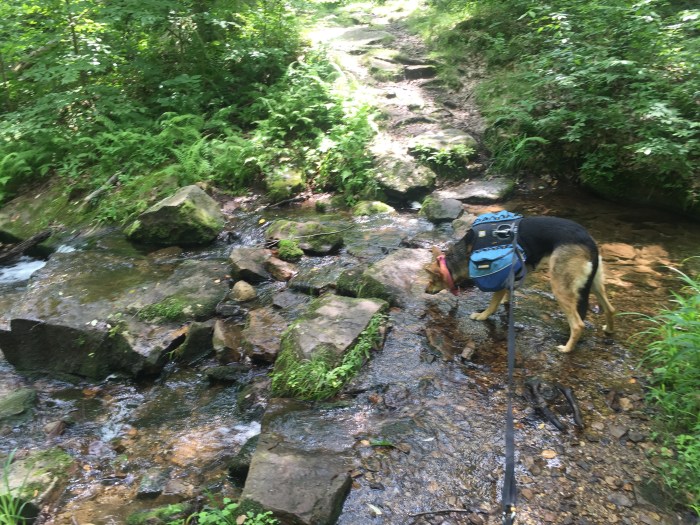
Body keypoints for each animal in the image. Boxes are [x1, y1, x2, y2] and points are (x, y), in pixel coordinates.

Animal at [425, 213, 615, 353]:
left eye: (431, 280)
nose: (425, 291)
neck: (465, 254)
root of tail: (588, 240)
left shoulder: (499, 278)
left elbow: (492, 305)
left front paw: (482, 316)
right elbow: (506, 296)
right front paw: (505, 301)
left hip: (560, 287)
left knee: (578, 324)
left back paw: (566, 349)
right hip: (596, 283)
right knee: (610, 308)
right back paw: (609, 329)